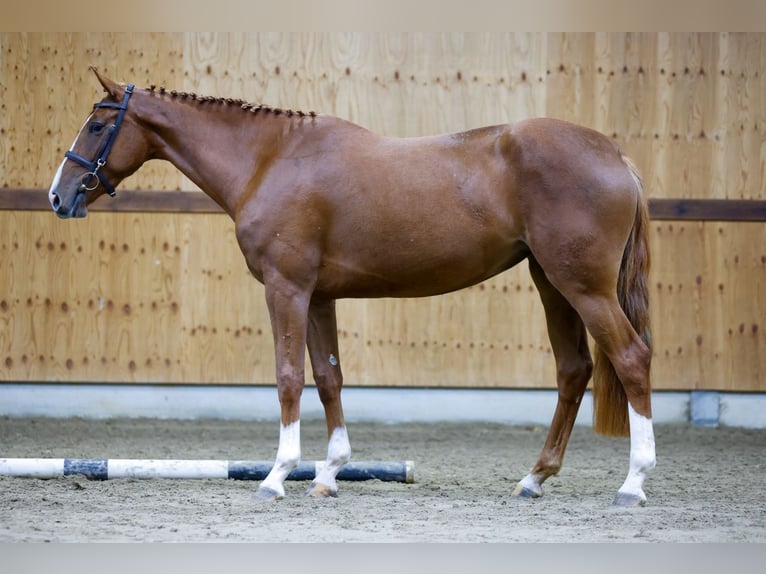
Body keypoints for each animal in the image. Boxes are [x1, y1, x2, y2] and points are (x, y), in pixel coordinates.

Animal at [49, 68, 660, 508]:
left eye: (98, 126)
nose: (59, 195)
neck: (270, 160)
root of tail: (617, 157)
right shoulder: (319, 297)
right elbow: (329, 379)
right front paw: (330, 473)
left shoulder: (286, 290)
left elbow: (289, 378)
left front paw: (277, 476)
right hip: (551, 283)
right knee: (573, 370)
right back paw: (534, 478)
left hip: (582, 287)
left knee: (631, 358)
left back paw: (632, 484)